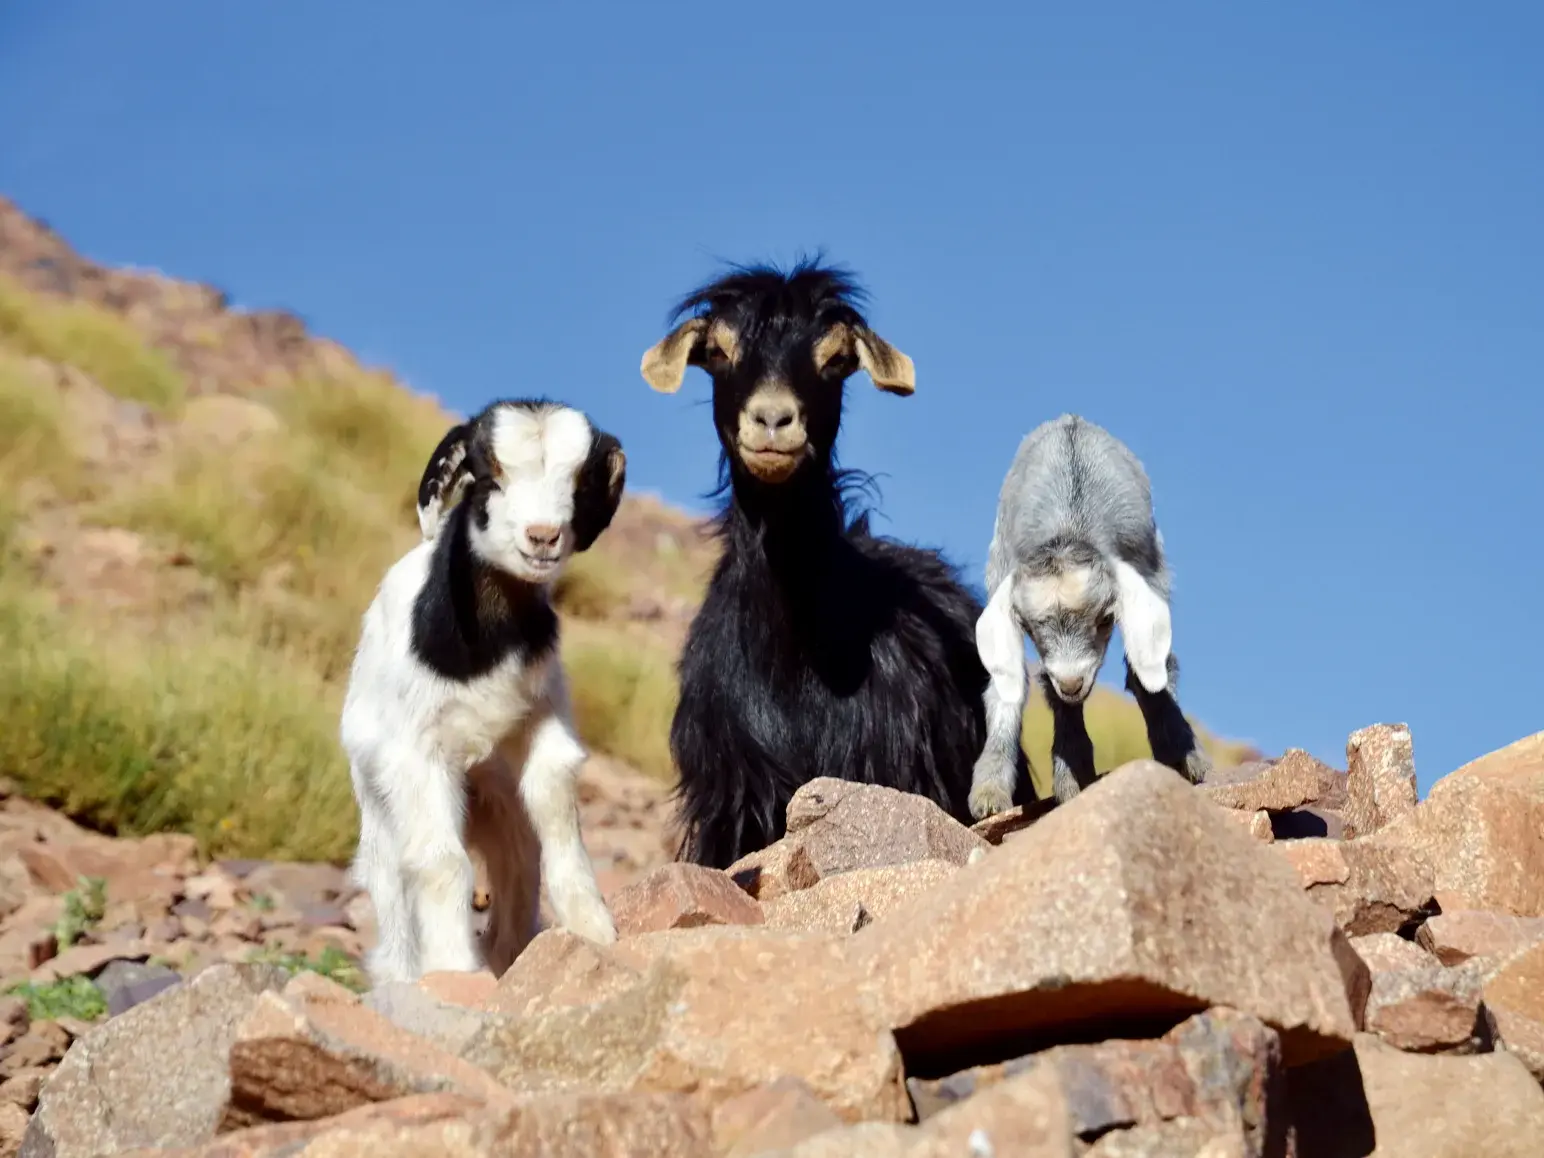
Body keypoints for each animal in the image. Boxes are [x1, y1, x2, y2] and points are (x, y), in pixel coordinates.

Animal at [340, 398, 626, 984]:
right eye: (488, 475)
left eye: (581, 480)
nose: (542, 536)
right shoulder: (416, 755)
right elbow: (442, 863)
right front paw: (454, 968)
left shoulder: (544, 725)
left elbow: (559, 827)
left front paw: (594, 930)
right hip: (379, 815)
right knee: (396, 890)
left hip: (498, 807)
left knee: (517, 869)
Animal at [969, 413, 1212, 814]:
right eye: (1030, 628)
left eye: (1104, 620)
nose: (1071, 683)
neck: (1070, 527)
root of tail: (1070, 419)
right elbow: (1018, 687)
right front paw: (994, 791)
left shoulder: (1146, 572)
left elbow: (1150, 671)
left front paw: (1182, 756)